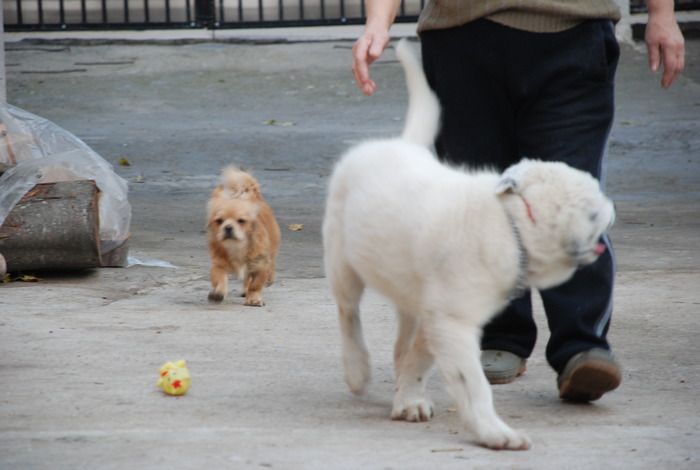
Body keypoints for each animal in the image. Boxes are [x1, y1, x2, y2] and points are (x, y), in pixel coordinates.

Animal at [206, 167, 280, 306]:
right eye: (219, 221)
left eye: (241, 221)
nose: (228, 227)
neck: (237, 247)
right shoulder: (218, 265)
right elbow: (220, 279)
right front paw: (218, 293)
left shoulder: (260, 266)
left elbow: (255, 285)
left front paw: (254, 299)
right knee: (246, 280)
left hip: (272, 249)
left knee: (271, 263)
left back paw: (270, 278)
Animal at [322, 40, 612, 452]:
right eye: (593, 208)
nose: (612, 208)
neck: (512, 225)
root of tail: (400, 143)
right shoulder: (453, 321)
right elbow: (474, 385)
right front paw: (496, 432)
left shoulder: (440, 317)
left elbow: (420, 361)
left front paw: (410, 399)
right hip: (342, 260)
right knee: (348, 313)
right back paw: (357, 370)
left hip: (408, 289)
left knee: (401, 345)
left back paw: (404, 395)